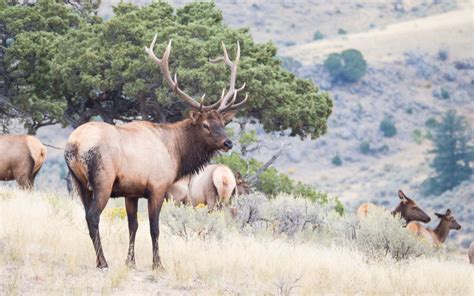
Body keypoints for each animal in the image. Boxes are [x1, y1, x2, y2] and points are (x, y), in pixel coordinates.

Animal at [65, 34, 250, 268]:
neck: (176, 153)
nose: (228, 143)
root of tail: (74, 145)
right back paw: (103, 262)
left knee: (87, 216)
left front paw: (131, 262)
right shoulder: (158, 187)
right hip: (102, 181)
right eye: (205, 125)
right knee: (93, 216)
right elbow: (155, 228)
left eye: (223, 123)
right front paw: (158, 264)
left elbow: (133, 226)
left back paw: (100, 260)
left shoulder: (131, 192)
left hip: (79, 183)